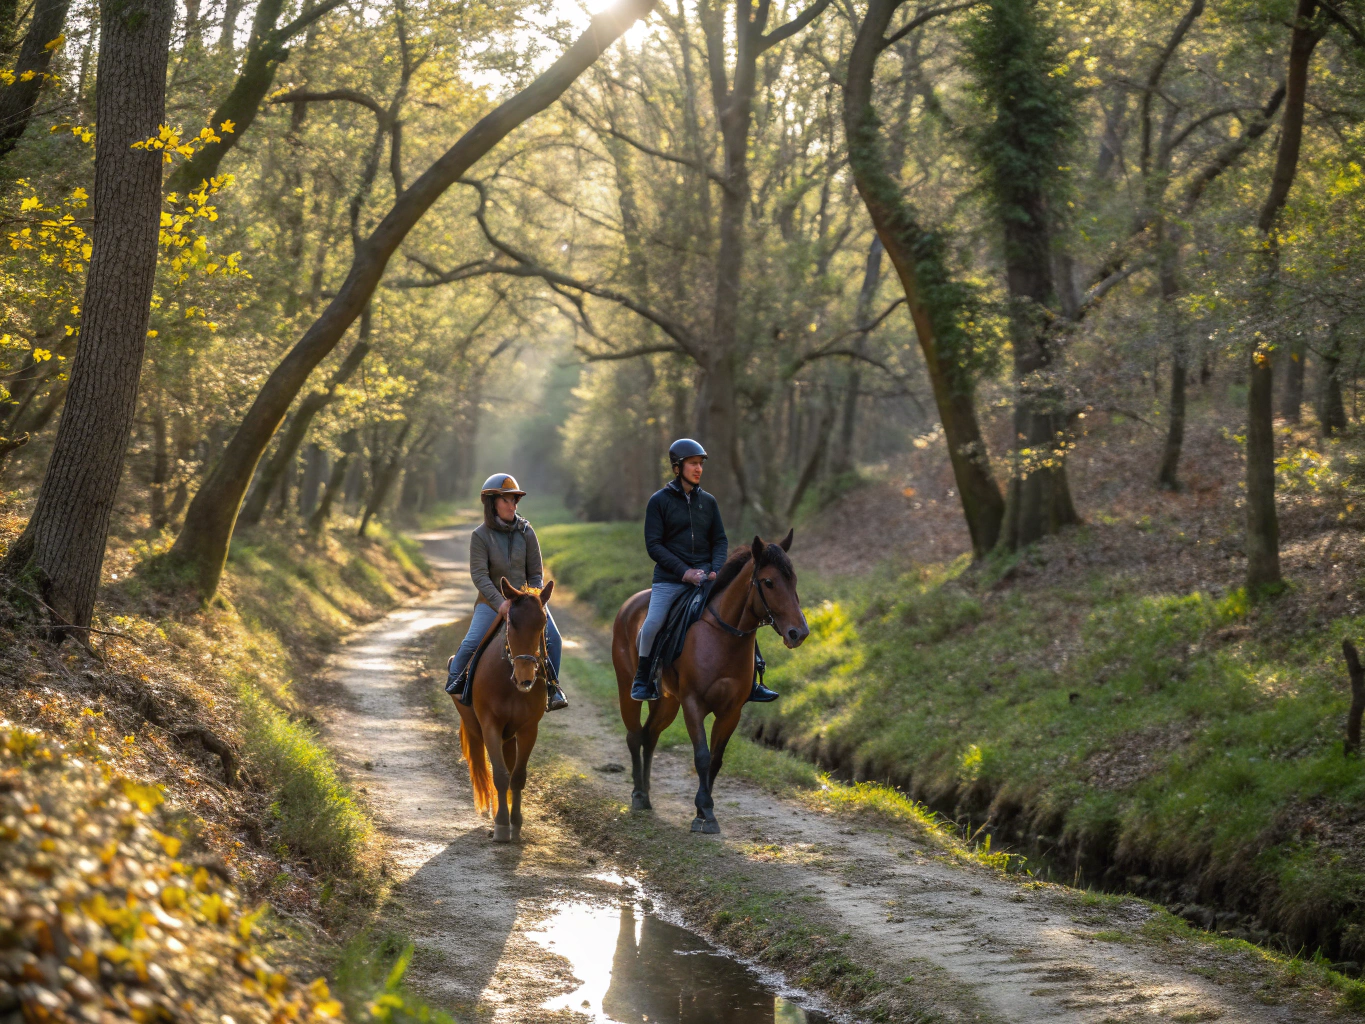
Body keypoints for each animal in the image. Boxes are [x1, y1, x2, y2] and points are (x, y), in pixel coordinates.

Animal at [452, 577, 554, 842]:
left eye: (543, 623)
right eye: (512, 622)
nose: (525, 678)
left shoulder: (528, 730)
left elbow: (516, 777)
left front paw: (515, 824)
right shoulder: (491, 726)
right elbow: (499, 775)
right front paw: (500, 825)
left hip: (510, 737)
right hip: (480, 729)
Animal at [611, 531, 809, 834]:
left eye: (794, 580)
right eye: (769, 582)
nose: (799, 633)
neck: (723, 637)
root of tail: (628, 604)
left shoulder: (731, 712)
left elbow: (716, 759)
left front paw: (704, 810)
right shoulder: (693, 704)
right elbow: (702, 756)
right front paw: (704, 812)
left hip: (667, 701)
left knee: (650, 735)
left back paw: (646, 794)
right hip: (627, 689)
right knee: (634, 735)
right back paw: (637, 796)